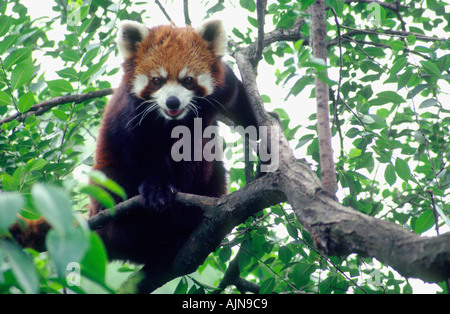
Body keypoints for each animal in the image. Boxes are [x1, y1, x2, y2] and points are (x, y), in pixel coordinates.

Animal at [89, 20, 256, 290]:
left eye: (187, 80)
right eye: (157, 80)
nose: (172, 102)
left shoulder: (223, 86)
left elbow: (239, 101)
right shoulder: (133, 119)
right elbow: (144, 157)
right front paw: (158, 190)